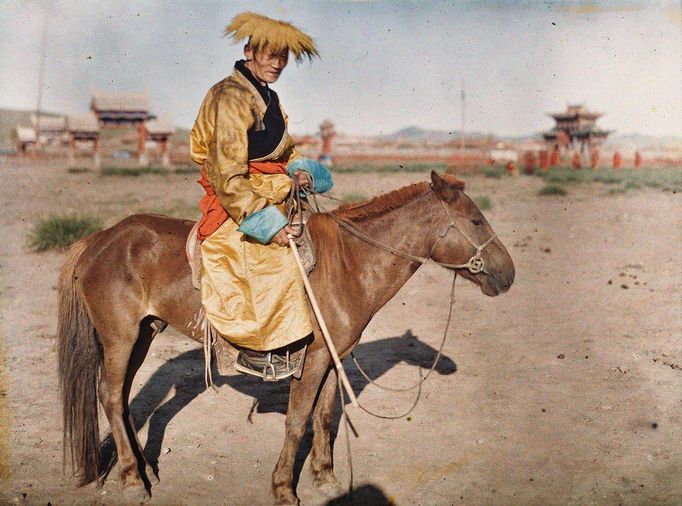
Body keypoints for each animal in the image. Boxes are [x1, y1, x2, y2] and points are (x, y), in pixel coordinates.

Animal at [57, 172, 510, 504]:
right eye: (475, 221)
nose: (508, 275)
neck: (348, 264)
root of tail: (99, 239)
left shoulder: (331, 358)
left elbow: (324, 417)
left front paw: (325, 479)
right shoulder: (312, 360)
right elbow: (296, 421)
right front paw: (283, 489)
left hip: (144, 335)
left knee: (122, 398)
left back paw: (144, 469)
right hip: (119, 338)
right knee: (111, 395)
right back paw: (133, 481)